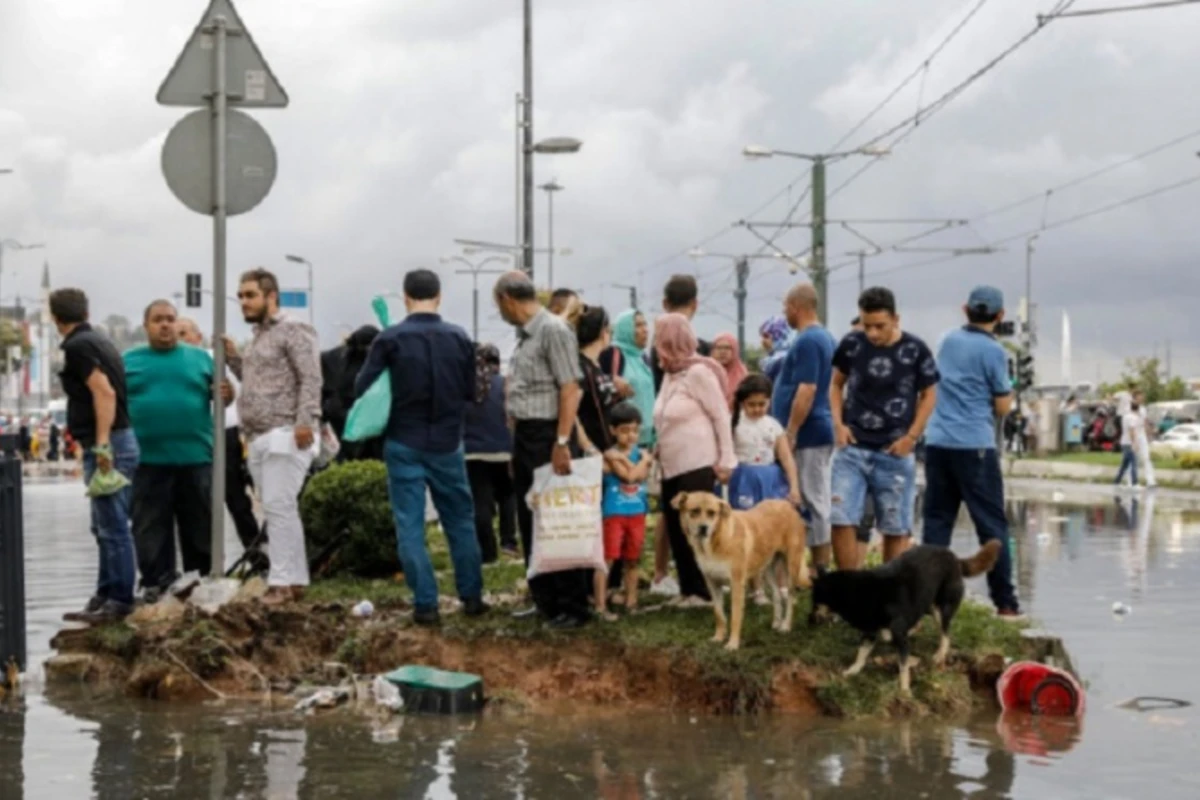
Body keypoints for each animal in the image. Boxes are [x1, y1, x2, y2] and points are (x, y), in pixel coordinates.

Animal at [672, 494, 811, 652]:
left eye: (712, 513)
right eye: (694, 511)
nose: (703, 528)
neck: (715, 542)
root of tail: (786, 504)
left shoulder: (737, 584)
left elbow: (735, 617)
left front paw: (733, 644)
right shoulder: (713, 584)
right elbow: (719, 614)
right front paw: (718, 637)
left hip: (791, 568)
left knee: (790, 598)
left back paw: (786, 626)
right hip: (766, 569)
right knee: (776, 594)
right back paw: (776, 622)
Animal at [811, 544, 998, 695]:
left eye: (815, 602)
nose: (810, 620)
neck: (860, 593)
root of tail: (953, 556)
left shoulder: (900, 639)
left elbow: (903, 667)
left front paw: (904, 690)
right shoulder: (870, 632)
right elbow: (861, 653)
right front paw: (853, 670)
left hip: (941, 609)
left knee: (946, 635)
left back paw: (940, 654)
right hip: (927, 603)